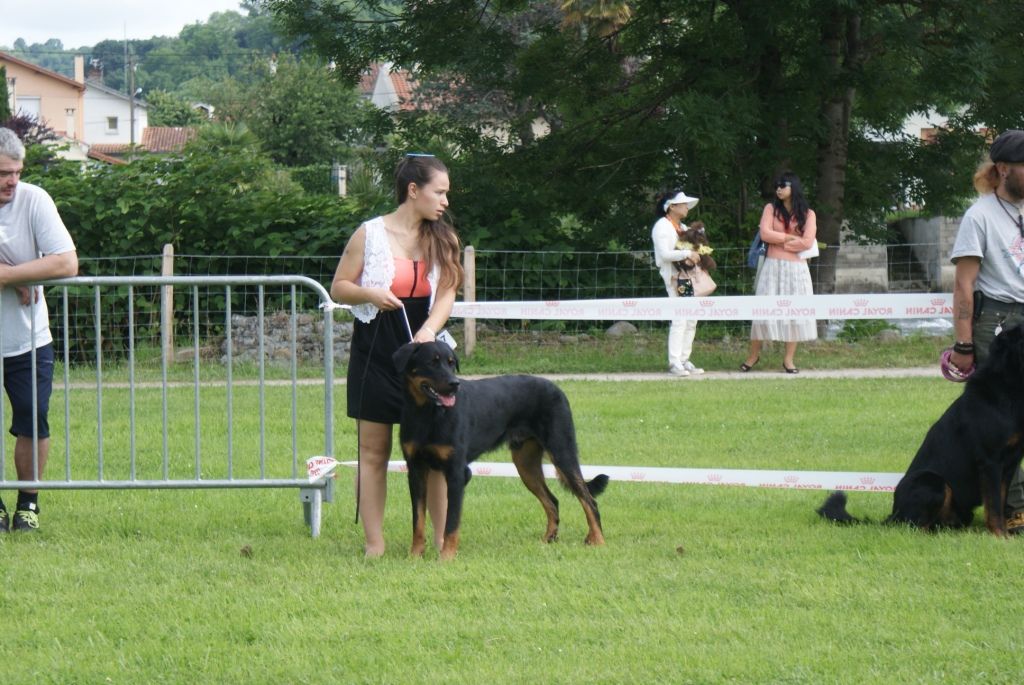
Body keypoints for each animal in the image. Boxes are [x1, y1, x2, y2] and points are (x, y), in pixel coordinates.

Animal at [387, 339, 602, 557]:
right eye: (432, 362)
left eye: (451, 363)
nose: (454, 384)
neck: (427, 414)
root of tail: (557, 388)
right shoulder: (416, 471)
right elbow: (418, 521)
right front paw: (415, 555)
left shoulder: (457, 473)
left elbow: (451, 523)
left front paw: (446, 556)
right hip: (526, 464)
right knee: (552, 501)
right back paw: (548, 540)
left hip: (561, 451)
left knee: (589, 500)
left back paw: (598, 541)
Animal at [819, 323, 1024, 536]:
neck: (1008, 388)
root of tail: (893, 514)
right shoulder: (990, 461)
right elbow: (993, 505)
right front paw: (1000, 536)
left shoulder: (1010, 463)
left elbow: (1000, 501)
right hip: (932, 481)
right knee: (914, 526)